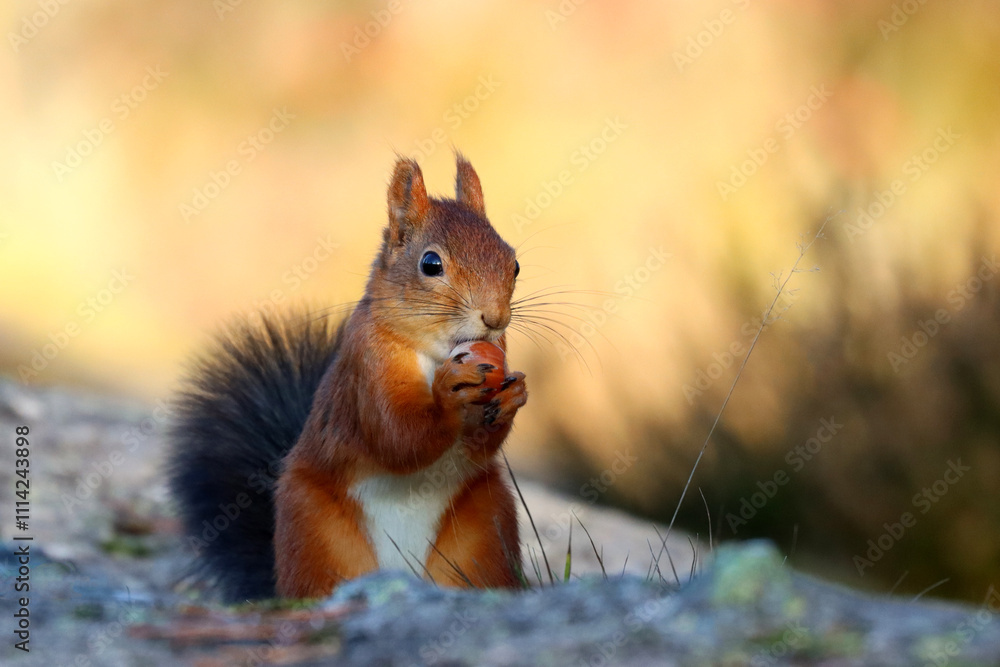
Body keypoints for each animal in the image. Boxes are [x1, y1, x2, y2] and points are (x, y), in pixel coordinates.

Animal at [167, 155, 527, 601]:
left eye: (513, 263)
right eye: (431, 264)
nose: (495, 319)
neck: (436, 353)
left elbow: (481, 444)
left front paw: (514, 395)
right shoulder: (367, 370)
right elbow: (397, 436)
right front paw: (449, 393)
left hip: (483, 529)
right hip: (315, 531)